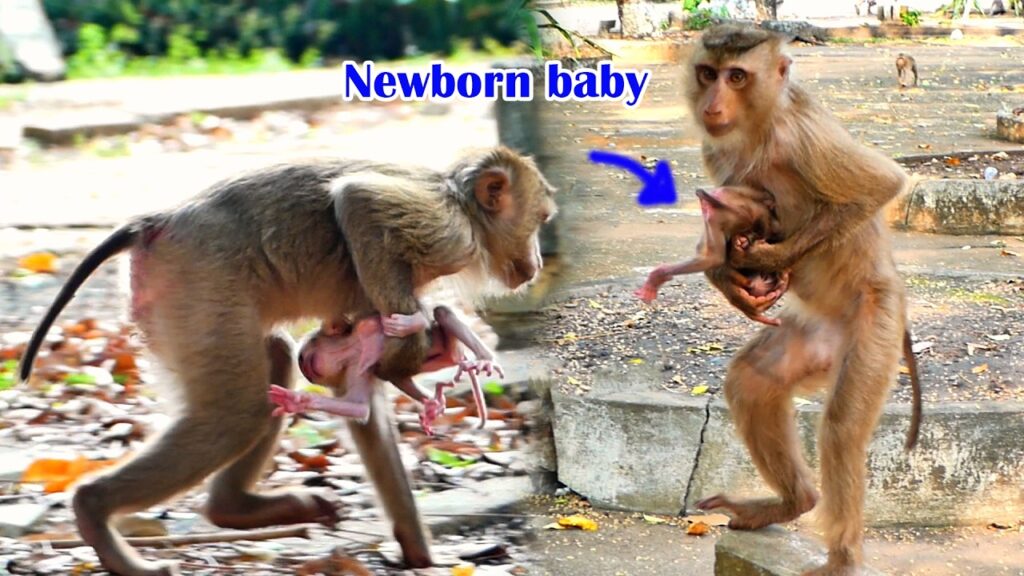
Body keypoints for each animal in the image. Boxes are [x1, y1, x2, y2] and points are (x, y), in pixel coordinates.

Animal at [270, 305, 503, 435]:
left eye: (306, 361)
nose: (310, 374)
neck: (349, 349)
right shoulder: (355, 366)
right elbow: (360, 407)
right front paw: (298, 401)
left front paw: (412, 322)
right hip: (430, 358)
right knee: (392, 373)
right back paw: (435, 401)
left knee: (441, 313)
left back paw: (483, 359)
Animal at [683, 24, 914, 575]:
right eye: (707, 73)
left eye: (737, 76)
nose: (713, 103)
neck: (760, 131)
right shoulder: (715, 150)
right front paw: (728, 273)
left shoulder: (804, 134)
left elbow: (880, 186)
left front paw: (768, 256)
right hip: (813, 337)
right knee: (752, 381)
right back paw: (794, 502)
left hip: (878, 320)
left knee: (843, 428)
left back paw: (842, 558)